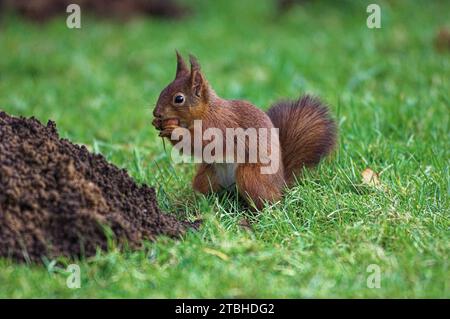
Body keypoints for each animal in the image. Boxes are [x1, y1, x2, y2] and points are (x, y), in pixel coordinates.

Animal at [153, 52, 336, 210]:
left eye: (179, 99)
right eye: (162, 90)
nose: (156, 113)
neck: (207, 112)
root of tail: (281, 184)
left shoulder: (219, 127)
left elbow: (198, 143)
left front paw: (173, 130)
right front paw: (158, 124)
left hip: (250, 176)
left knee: (269, 201)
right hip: (206, 176)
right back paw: (193, 203)